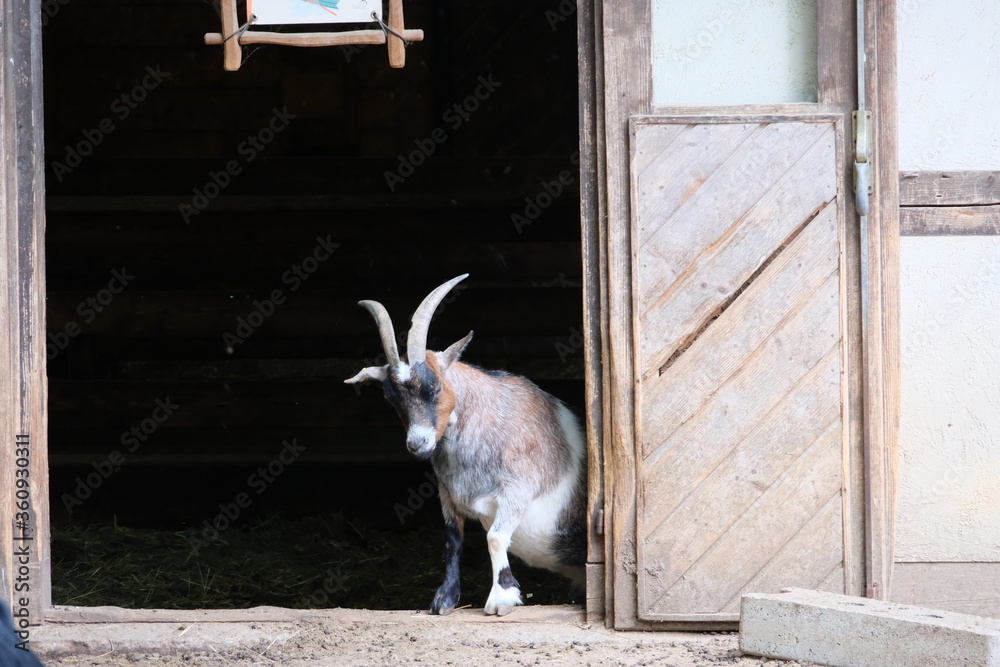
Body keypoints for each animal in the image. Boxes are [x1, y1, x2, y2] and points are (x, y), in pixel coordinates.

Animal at [345, 274, 586, 616]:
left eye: (435, 386)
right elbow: (452, 540)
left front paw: (503, 597)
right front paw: (444, 598)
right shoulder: (448, 494)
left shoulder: (519, 487)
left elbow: (495, 537)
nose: (417, 444)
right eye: (390, 398)